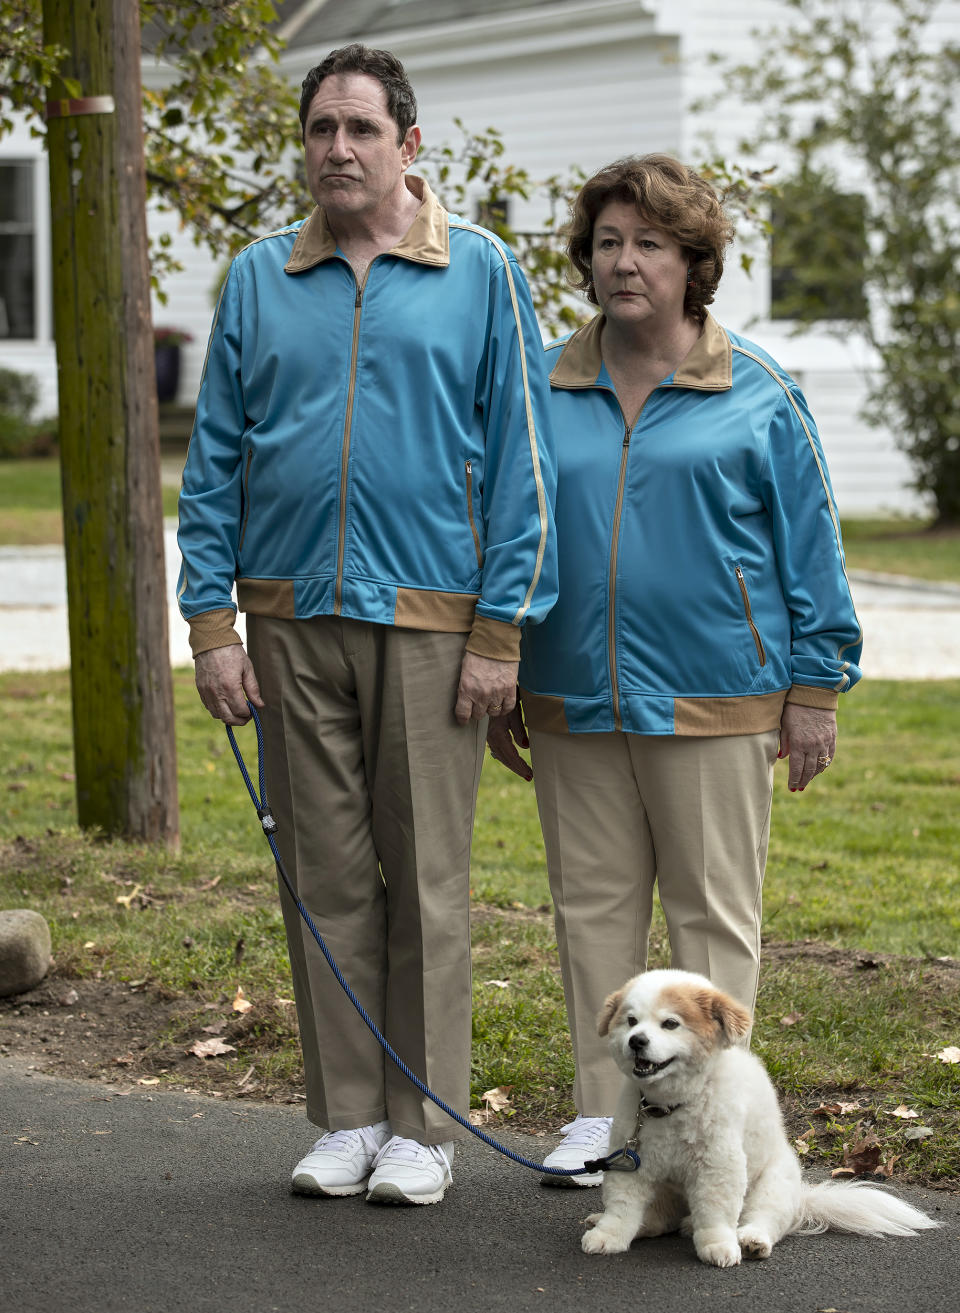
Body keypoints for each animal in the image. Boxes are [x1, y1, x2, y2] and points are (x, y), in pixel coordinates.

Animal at [577, 971, 940, 1265]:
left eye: (670, 1023)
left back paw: (750, 1239)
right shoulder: (632, 1162)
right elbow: (622, 1207)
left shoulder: (718, 1165)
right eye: (631, 1021)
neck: (670, 1106)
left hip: (772, 1186)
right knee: (660, 1219)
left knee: (763, 1219)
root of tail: (803, 1198)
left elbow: (716, 1213)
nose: (637, 1041)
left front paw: (718, 1246)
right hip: (666, 1190)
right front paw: (609, 1235)